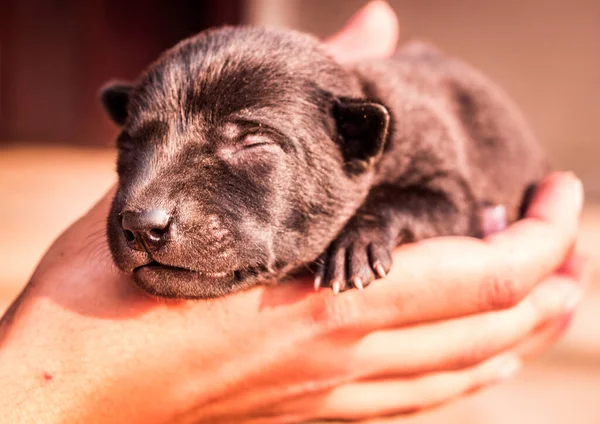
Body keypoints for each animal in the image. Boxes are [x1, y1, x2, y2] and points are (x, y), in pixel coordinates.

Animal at [101, 25, 548, 298]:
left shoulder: (455, 193)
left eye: (252, 143)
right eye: (127, 146)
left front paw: (355, 246)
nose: (141, 224)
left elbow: (400, 198)